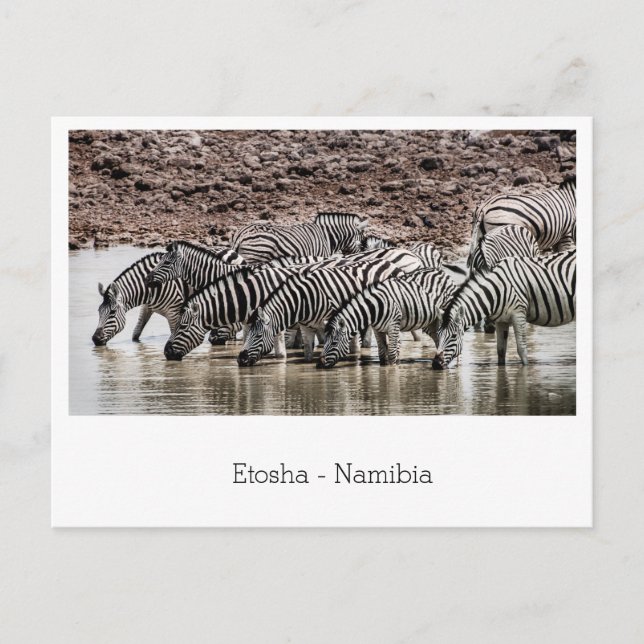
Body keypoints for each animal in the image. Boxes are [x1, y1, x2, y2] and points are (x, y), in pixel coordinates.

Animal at [163, 265, 297, 360]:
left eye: (182, 326)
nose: (166, 352)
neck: (249, 295)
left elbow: (280, 352)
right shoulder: (249, 323)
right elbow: (247, 341)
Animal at [237, 261, 405, 366]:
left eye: (258, 336)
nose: (240, 360)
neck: (303, 300)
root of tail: (391, 264)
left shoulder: (332, 319)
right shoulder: (306, 326)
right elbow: (308, 351)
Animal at [317, 278, 447, 368]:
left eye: (334, 343)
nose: (319, 364)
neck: (373, 308)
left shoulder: (393, 325)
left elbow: (392, 353)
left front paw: (392, 370)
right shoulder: (377, 329)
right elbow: (382, 353)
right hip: (430, 323)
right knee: (438, 340)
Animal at [432, 250, 576, 369]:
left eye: (454, 336)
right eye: (438, 334)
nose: (436, 364)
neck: (497, 290)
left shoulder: (519, 313)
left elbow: (522, 349)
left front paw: (525, 370)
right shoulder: (501, 320)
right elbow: (500, 351)